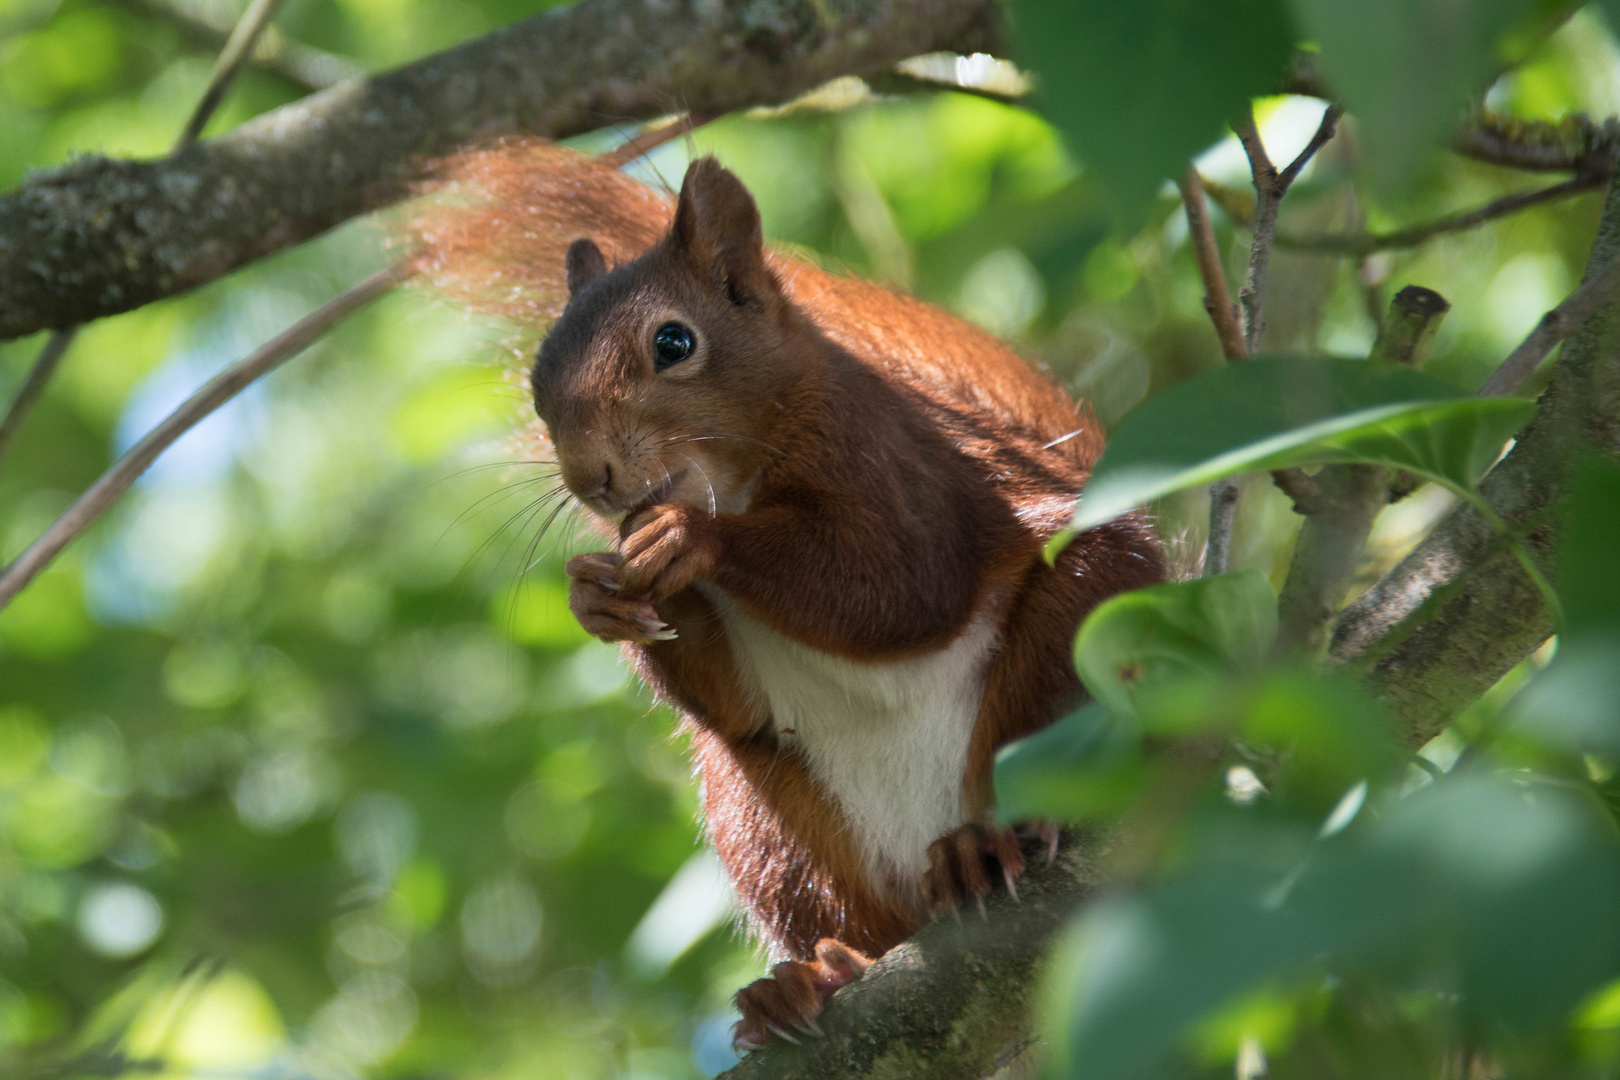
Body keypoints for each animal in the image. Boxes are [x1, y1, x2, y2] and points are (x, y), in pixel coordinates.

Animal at [411, 141, 1159, 1049]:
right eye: (536, 383)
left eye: (674, 341)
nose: (593, 477)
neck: (731, 481)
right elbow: (727, 697)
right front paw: (595, 594)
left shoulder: (898, 464)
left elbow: (900, 584)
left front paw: (690, 539)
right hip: (767, 826)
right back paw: (822, 976)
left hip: (1085, 632)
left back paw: (988, 844)